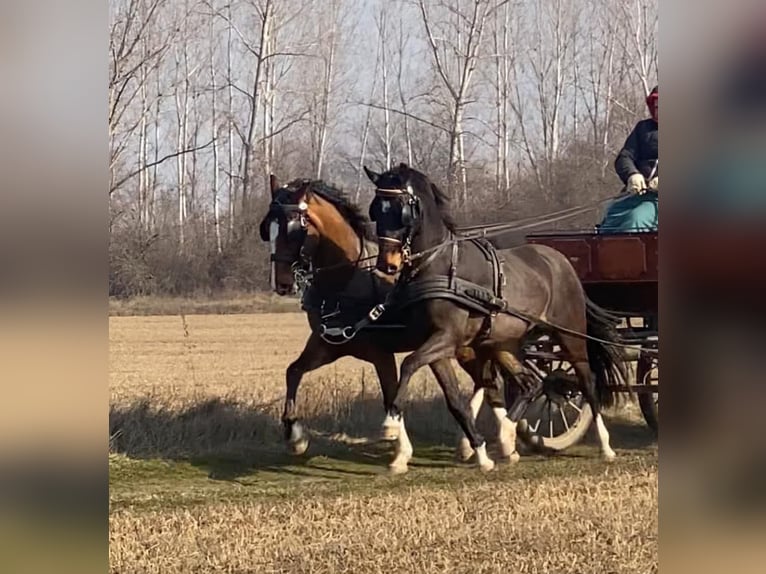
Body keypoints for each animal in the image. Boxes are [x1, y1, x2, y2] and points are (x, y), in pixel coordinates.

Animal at [260, 178, 520, 474]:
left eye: (294, 228)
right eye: (267, 228)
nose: (281, 283)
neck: (347, 279)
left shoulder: (380, 354)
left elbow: (391, 396)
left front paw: (399, 451)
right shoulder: (327, 346)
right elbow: (293, 371)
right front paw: (295, 437)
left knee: (491, 381)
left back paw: (500, 440)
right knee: (489, 382)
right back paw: (499, 443)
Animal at [366, 163, 632, 472]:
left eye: (402, 210)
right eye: (376, 210)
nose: (387, 264)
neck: (440, 265)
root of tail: (561, 261)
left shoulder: (447, 338)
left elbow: (409, 363)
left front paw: (390, 423)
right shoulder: (436, 345)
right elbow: (453, 399)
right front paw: (480, 453)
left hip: (570, 335)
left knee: (587, 382)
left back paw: (605, 445)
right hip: (504, 343)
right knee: (531, 383)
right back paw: (506, 436)